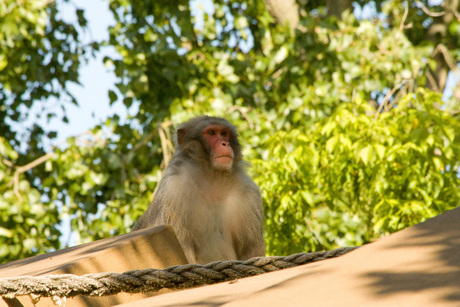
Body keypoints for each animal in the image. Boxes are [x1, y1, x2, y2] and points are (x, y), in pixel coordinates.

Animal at [133, 115, 264, 264]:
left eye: (224, 133)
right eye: (212, 133)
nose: (225, 144)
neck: (213, 179)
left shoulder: (249, 193)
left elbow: (251, 252)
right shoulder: (174, 191)